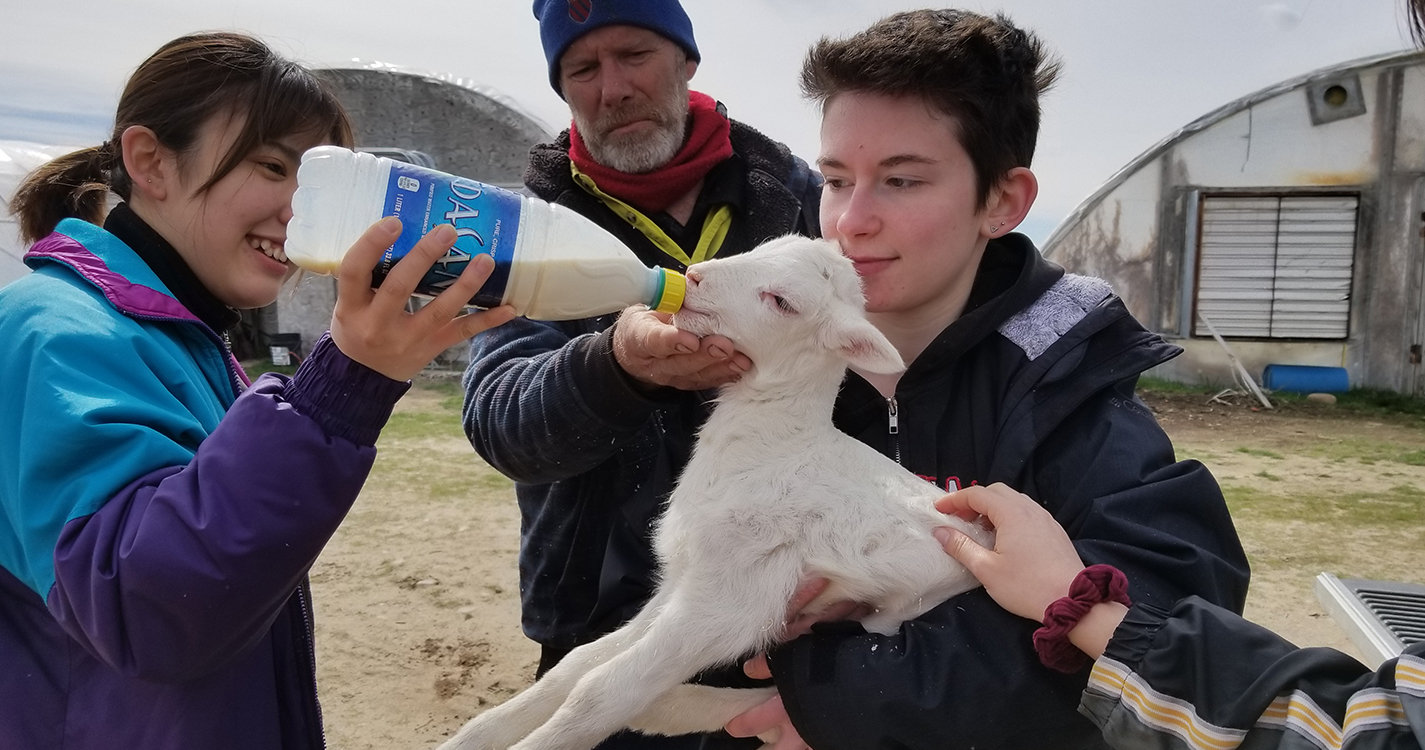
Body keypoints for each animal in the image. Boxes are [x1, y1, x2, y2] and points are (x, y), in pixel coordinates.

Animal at [441, 235, 991, 750]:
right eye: (765, 248)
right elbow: (578, 663)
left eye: (782, 301)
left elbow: (600, 689)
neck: (778, 447)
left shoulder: (737, 595)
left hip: (898, 612)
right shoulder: (687, 578)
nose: (695, 276)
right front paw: (475, 736)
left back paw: (669, 708)